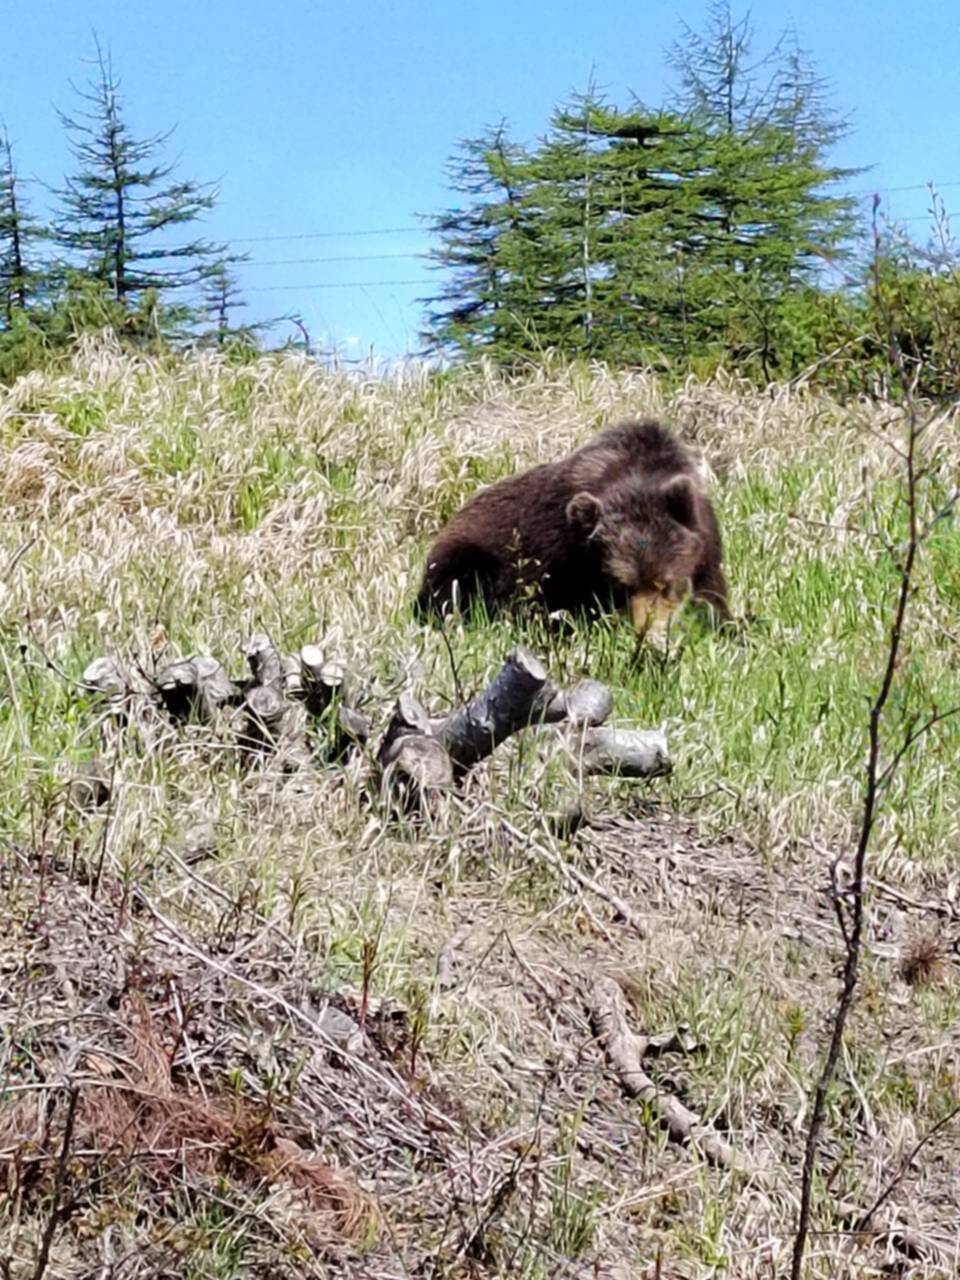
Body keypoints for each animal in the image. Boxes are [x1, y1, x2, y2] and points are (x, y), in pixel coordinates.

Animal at [417, 417, 732, 632]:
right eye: (620, 587)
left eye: (664, 583)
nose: (646, 629)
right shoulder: (559, 557)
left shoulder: (706, 539)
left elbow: (712, 596)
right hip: (466, 555)